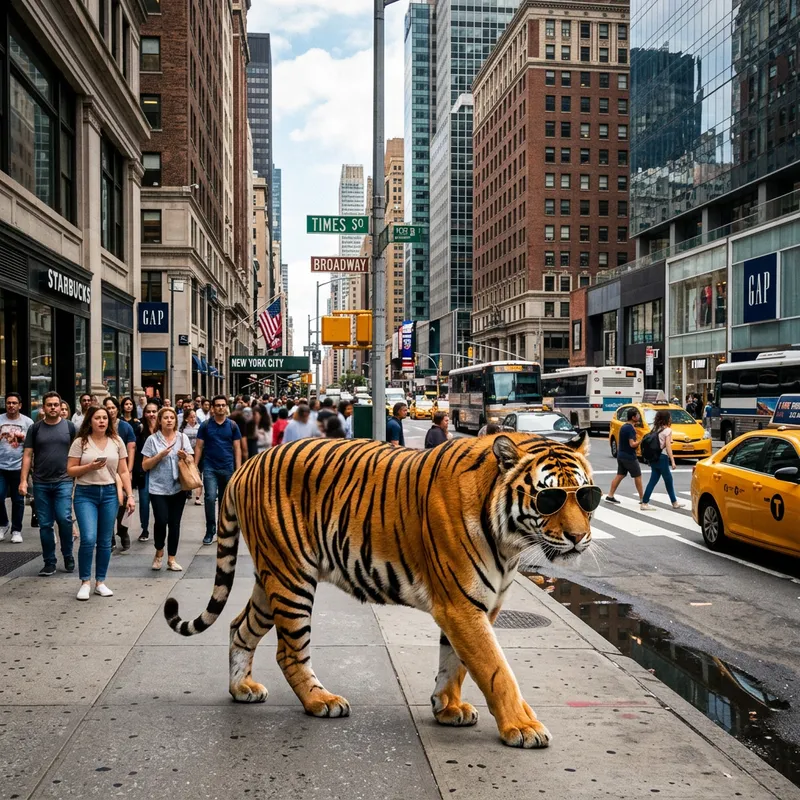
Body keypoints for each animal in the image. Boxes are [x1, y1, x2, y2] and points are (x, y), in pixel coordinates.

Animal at [164, 431, 599, 749]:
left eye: (587, 497)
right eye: (548, 498)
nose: (580, 537)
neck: (511, 541)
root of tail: (247, 464)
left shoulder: (478, 606)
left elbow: (456, 662)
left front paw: (448, 707)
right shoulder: (460, 605)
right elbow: (495, 669)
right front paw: (523, 726)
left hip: (271, 580)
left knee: (239, 627)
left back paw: (242, 689)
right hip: (291, 579)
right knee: (289, 652)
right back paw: (321, 701)